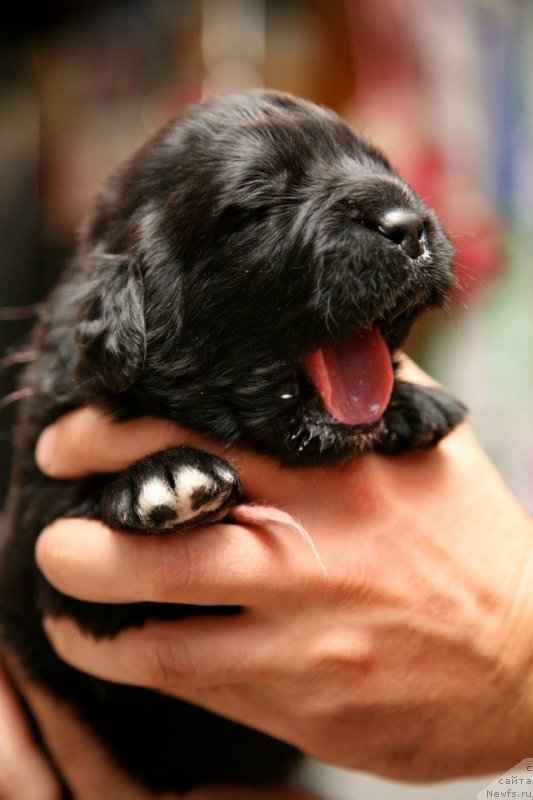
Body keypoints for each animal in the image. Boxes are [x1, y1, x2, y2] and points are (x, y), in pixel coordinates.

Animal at [0, 90, 466, 792]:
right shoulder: (42, 553)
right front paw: (162, 477)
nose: (408, 225)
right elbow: (71, 505)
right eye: (258, 203)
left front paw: (417, 403)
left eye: (380, 164)